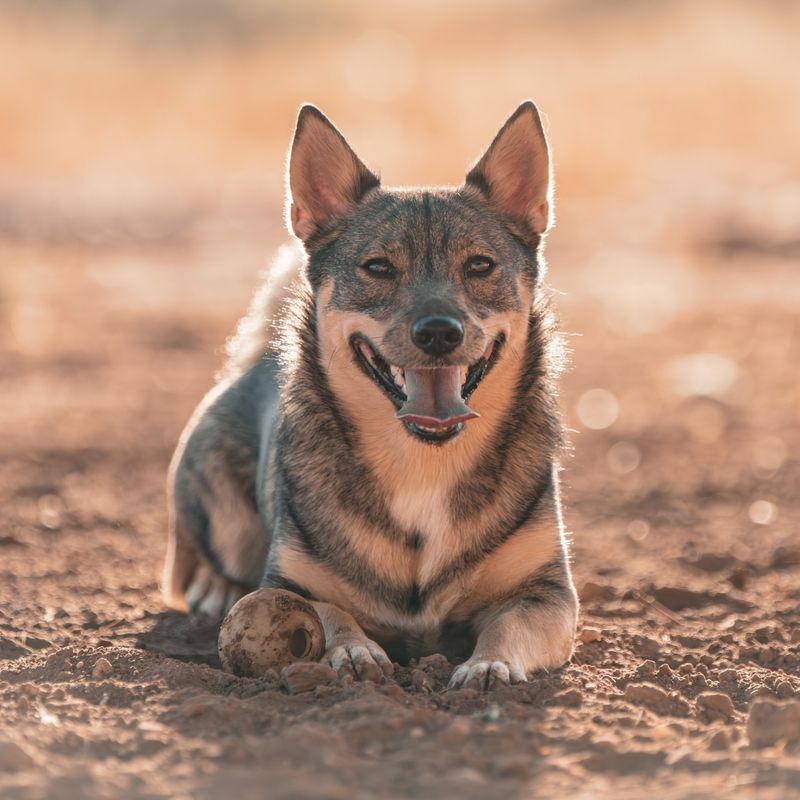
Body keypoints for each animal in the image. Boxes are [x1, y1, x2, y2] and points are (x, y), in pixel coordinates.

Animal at [162, 100, 576, 688]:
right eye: (378, 267)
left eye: (480, 265)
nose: (439, 332)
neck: (423, 463)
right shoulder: (290, 581)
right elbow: (328, 612)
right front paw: (354, 651)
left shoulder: (548, 594)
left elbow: (508, 625)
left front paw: (488, 664)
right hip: (215, 507)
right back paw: (215, 588)